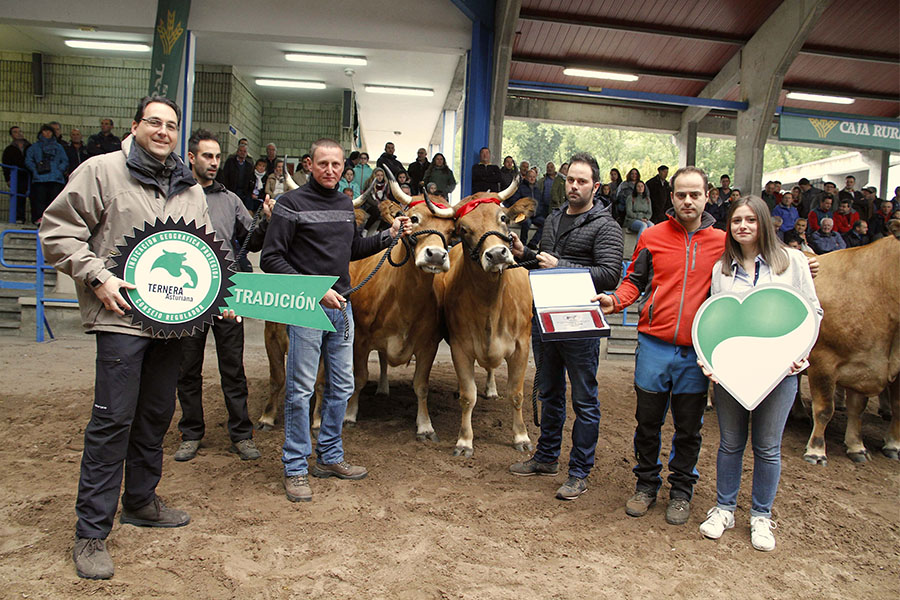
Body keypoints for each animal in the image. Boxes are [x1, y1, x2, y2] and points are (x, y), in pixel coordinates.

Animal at [800, 234, 900, 464]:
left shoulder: (863, 367)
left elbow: (859, 409)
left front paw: (858, 446)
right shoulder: (823, 360)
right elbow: (824, 408)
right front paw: (816, 450)